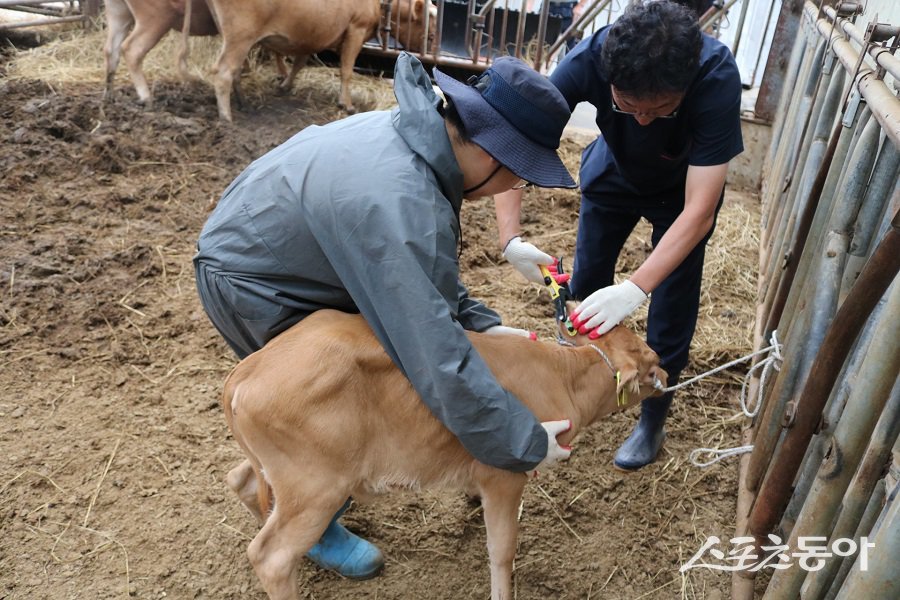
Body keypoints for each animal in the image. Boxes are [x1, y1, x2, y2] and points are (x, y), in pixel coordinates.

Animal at [207, 0, 440, 120]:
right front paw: (347, 104)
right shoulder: (356, 29)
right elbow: (346, 70)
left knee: (236, 69)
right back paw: (226, 118)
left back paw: (243, 103)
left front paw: (285, 86)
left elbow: (299, 63)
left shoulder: (311, 35)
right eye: (431, 32)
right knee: (223, 71)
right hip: (241, 34)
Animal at [221, 310, 664, 600]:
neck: (563, 375)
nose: (668, 372)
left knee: (241, 481)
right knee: (271, 556)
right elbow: (501, 551)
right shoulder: (504, 476)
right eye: (651, 362)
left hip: (287, 477)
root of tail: (247, 370)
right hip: (317, 487)